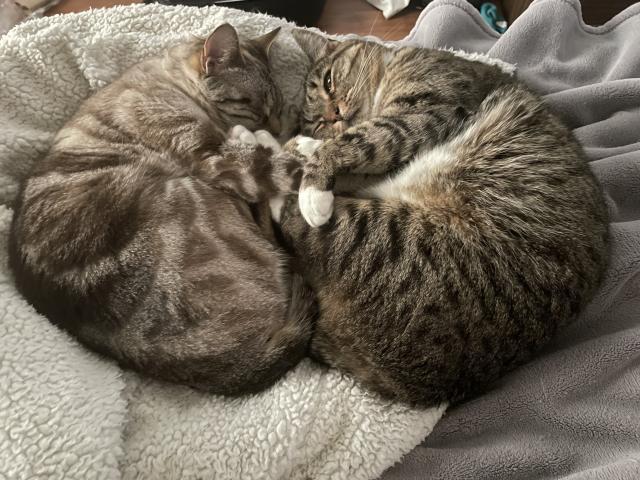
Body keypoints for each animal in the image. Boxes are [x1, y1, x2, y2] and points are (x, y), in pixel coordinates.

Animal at [6, 24, 316, 396]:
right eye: (250, 105)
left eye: (276, 105)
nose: (274, 126)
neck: (170, 80)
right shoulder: (213, 158)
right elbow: (287, 165)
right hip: (195, 189)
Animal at [264, 29, 608, 404]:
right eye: (318, 121)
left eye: (328, 82)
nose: (335, 115)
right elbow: (354, 144)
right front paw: (307, 149)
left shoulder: (427, 111)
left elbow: (360, 140)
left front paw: (313, 171)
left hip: (388, 236)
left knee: (295, 217)